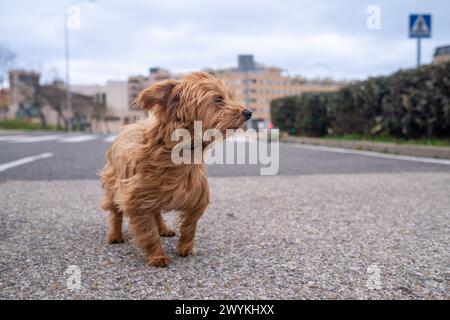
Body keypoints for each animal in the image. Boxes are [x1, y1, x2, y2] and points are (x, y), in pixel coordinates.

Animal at [100, 71, 251, 266]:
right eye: (219, 99)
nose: (248, 112)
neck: (181, 153)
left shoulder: (197, 197)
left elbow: (189, 225)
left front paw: (185, 248)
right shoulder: (136, 198)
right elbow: (148, 231)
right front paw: (157, 255)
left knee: (156, 212)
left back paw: (163, 228)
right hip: (114, 181)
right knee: (116, 211)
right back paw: (115, 234)